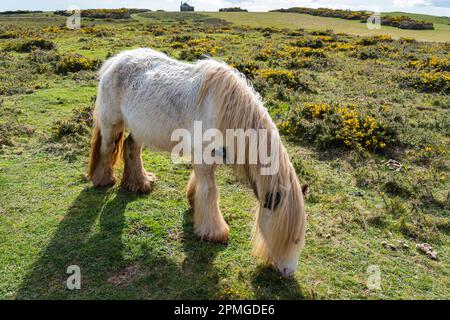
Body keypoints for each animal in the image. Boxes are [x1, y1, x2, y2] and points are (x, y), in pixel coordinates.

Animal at [88, 48, 306, 278]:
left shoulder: (212, 155)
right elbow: (210, 191)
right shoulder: (203, 156)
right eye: (290, 237)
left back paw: (140, 183)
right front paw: (214, 232)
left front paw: (193, 201)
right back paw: (104, 180)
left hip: (140, 129)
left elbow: (202, 185)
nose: (288, 272)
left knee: (131, 148)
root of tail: (115, 60)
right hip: (111, 125)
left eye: (299, 239)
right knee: (106, 149)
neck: (225, 111)